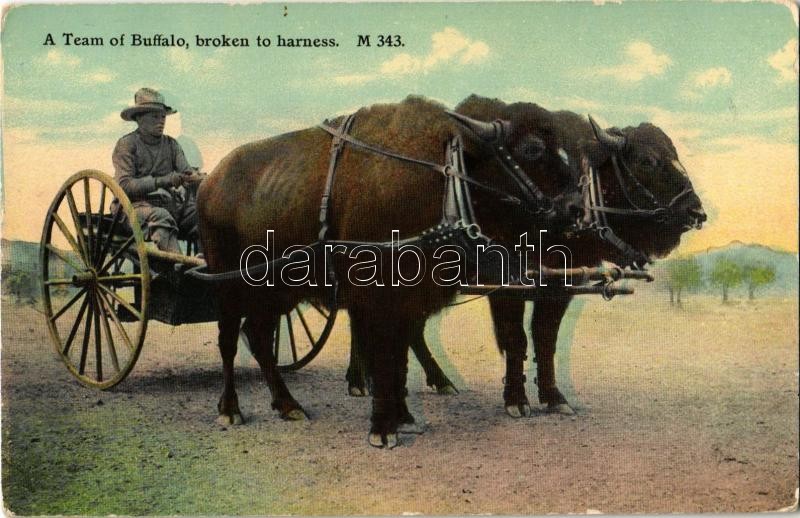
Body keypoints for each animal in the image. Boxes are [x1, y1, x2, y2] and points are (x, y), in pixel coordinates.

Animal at [194, 95, 580, 448]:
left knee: (258, 337)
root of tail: (209, 183)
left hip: (277, 293)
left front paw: (404, 419)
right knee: (229, 340)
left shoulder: (409, 302)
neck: (448, 169)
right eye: (532, 149)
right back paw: (231, 411)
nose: (576, 208)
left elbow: (398, 361)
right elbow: (384, 358)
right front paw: (383, 429)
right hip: (229, 286)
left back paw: (289, 406)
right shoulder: (379, 300)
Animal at [344, 96, 708, 418]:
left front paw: (554, 398)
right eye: (648, 160)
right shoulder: (507, 289)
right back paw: (361, 382)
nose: (697, 212)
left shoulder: (559, 289)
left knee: (408, 328)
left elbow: (545, 340)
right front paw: (517, 401)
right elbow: (515, 340)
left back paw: (436, 381)